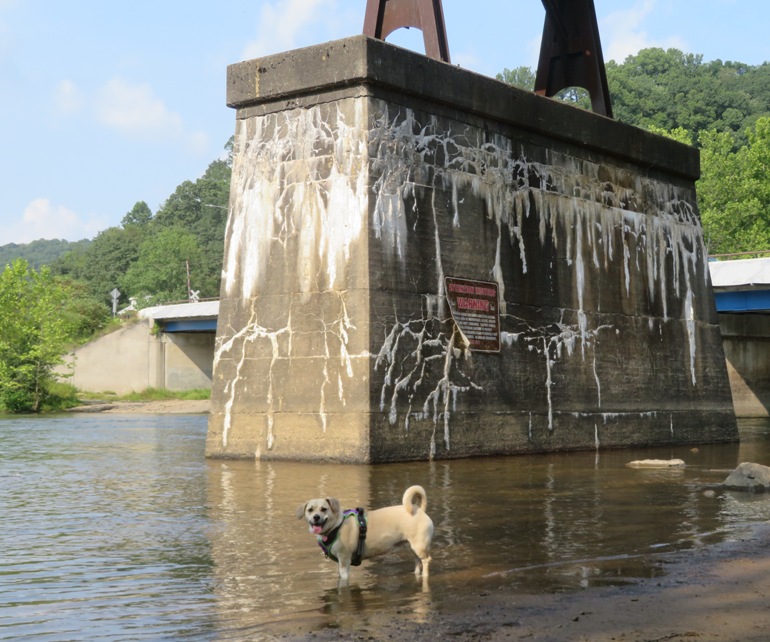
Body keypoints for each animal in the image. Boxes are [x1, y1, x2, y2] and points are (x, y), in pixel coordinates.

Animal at [296, 482, 432, 584]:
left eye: (324, 509)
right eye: (310, 510)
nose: (316, 517)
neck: (336, 526)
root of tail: (419, 509)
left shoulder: (344, 561)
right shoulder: (340, 563)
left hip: (419, 546)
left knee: (426, 561)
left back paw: (425, 576)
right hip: (413, 547)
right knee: (417, 561)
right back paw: (416, 573)